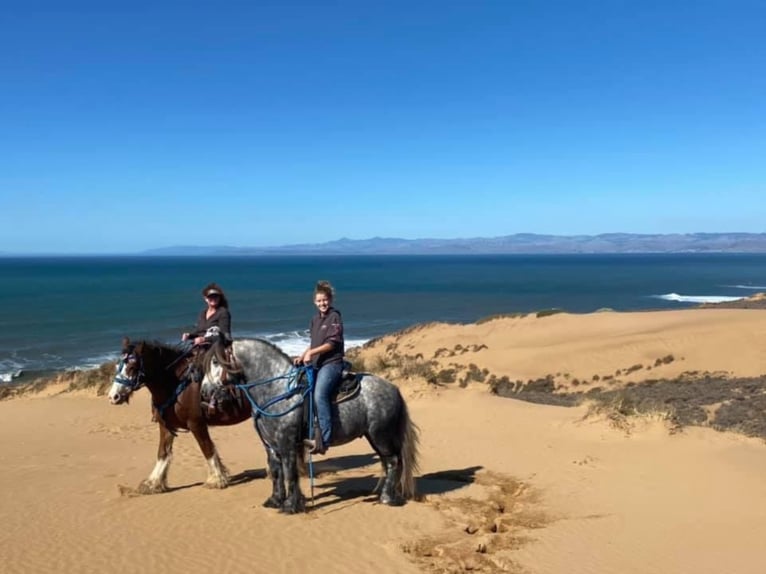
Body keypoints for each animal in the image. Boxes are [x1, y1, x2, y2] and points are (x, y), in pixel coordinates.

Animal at [204, 338, 420, 512]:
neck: (278, 390)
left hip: (380, 435)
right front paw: (275, 501)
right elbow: (276, 472)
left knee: (393, 462)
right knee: (388, 462)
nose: (205, 391)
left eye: (215, 361)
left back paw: (387, 498)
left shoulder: (287, 443)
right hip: (375, 437)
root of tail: (393, 388)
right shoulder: (271, 445)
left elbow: (290, 472)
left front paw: (291, 505)